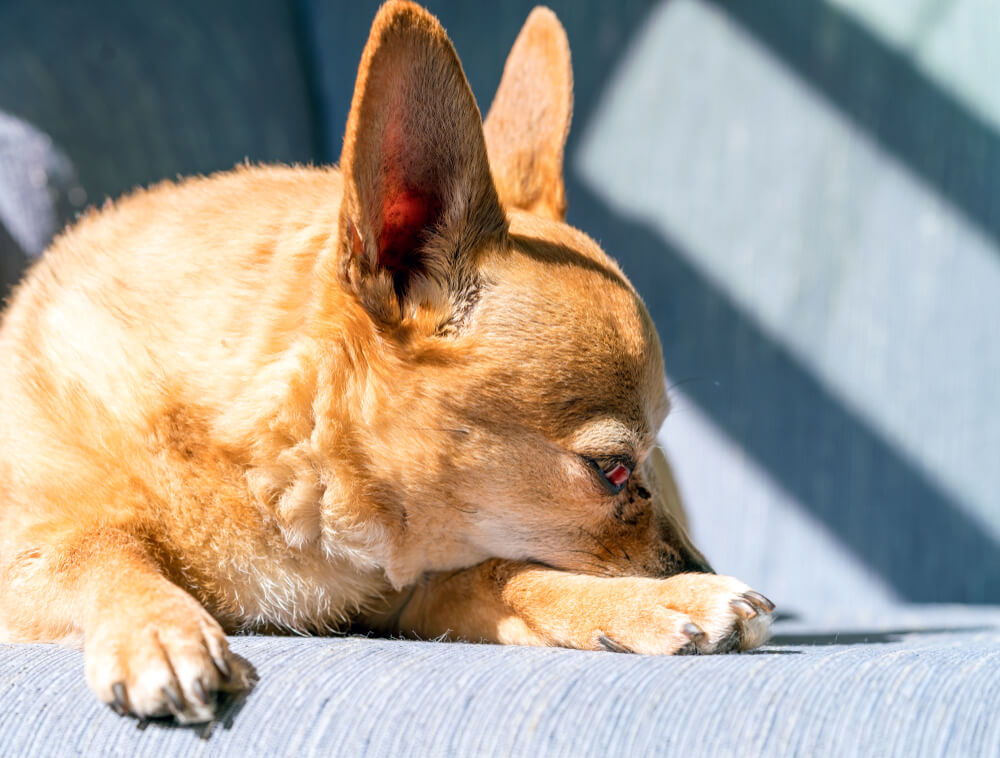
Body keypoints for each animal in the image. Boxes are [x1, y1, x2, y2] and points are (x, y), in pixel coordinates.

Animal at [0, 0, 772, 724]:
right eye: (611, 471)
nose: (695, 564)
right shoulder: (27, 550)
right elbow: (93, 546)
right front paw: (160, 627)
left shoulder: (409, 596)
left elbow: (500, 573)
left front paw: (654, 601)